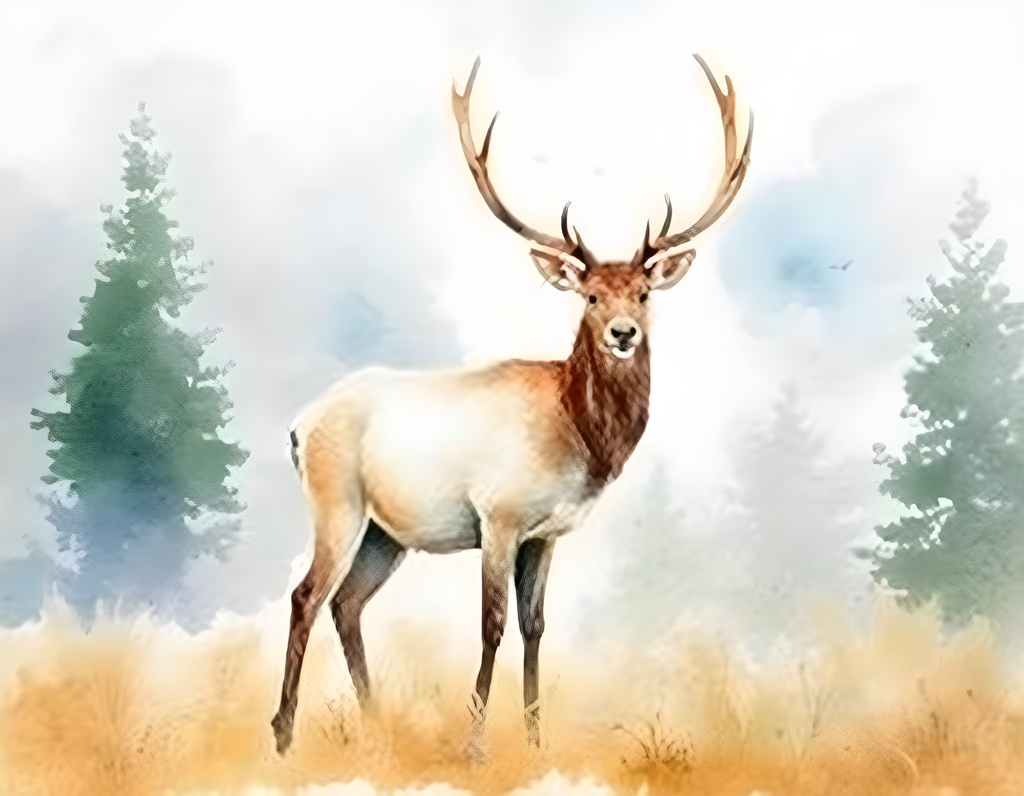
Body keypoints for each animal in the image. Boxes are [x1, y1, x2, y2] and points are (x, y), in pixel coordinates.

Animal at [271, 54, 753, 754]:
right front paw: (474, 746)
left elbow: (536, 625)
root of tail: (299, 427)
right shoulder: (497, 516)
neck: (579, 439)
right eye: (589, 296)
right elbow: (493, 624)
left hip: (385, 534)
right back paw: (283, 733)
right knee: (307, 594)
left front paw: (534, 740)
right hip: (337, 502)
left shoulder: (546, 534)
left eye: (641, 293)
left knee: (347, 602)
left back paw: (375, 723)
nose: (623, 334)